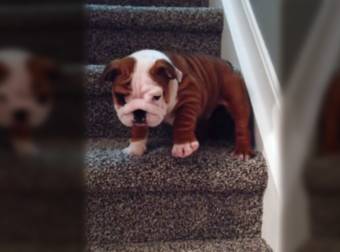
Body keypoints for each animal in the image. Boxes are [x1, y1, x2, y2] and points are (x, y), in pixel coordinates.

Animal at [102, 49, 254, 159]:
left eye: (156, 97)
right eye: (120, 97)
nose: (139, 112)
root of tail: (227, 64)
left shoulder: (190, 96)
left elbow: (183, 120)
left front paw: (183, 145)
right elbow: (138, 129)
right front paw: (136, 148)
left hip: (237, 99)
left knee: (241, 125)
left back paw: (242, 151)